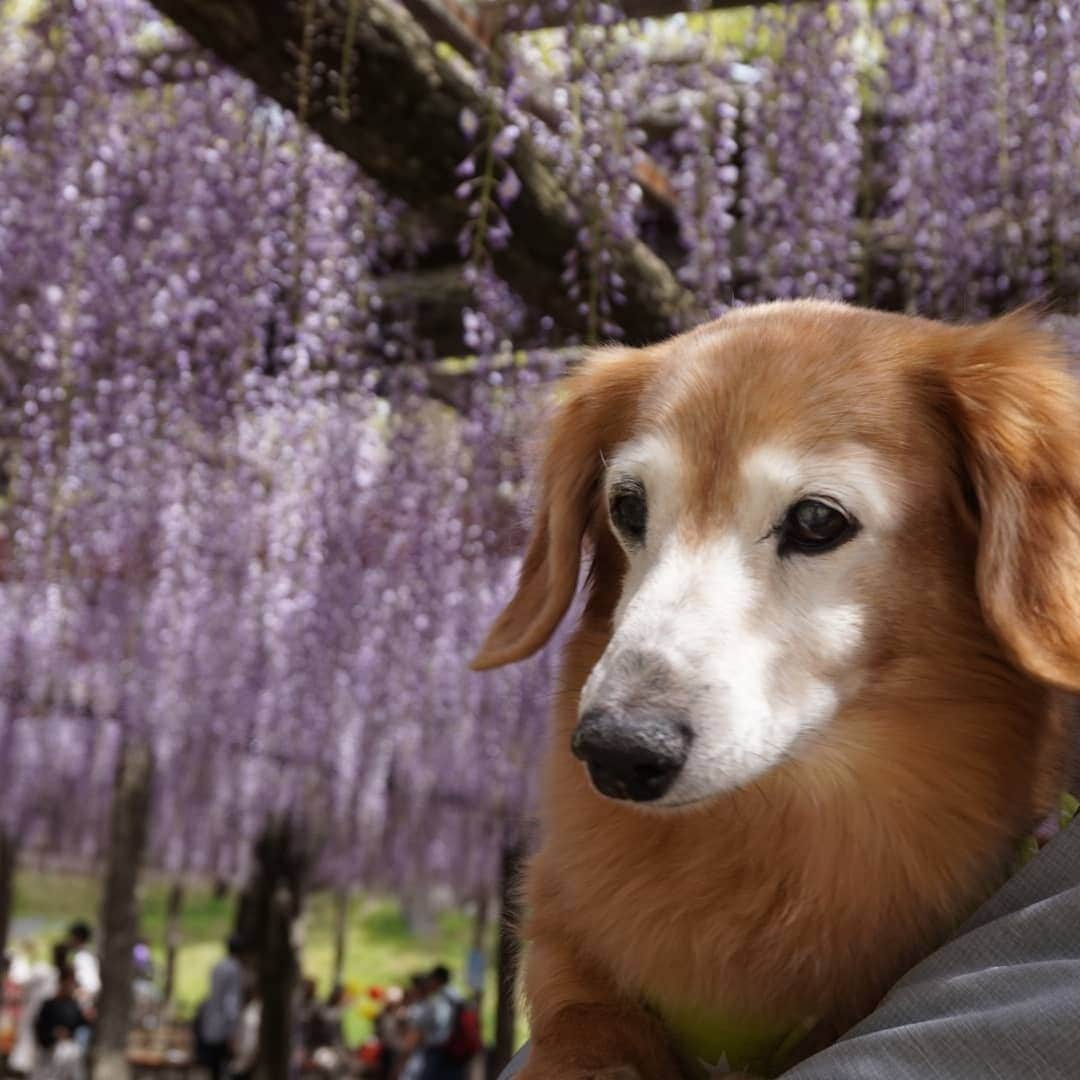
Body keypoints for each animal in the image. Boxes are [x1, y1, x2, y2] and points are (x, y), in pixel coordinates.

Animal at [473, 302, 1080, 1080]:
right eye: (628, 507)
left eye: (818, 519)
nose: (617, 752)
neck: (772, 830)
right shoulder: (565, 940)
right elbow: (584, 1024)